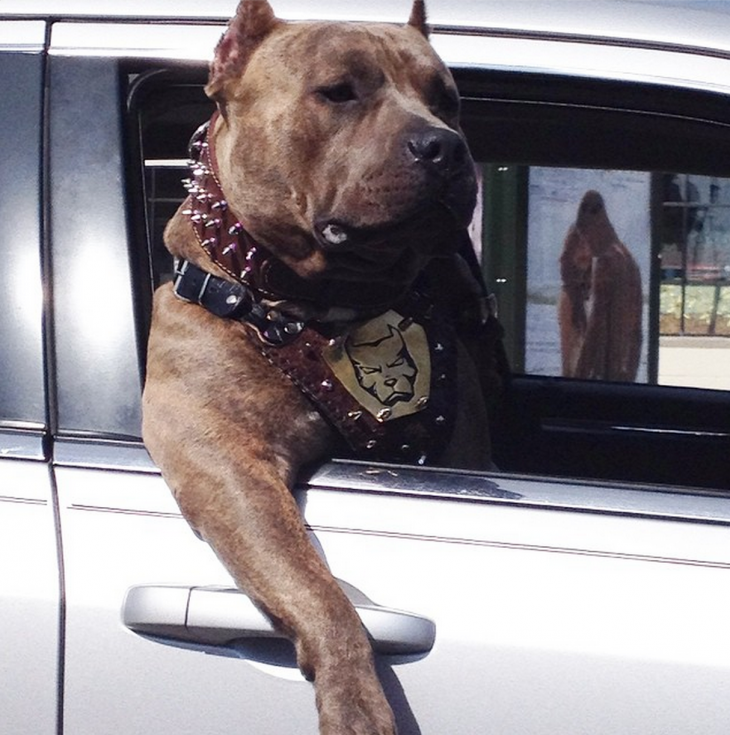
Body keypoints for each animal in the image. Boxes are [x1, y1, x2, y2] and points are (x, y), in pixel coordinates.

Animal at [145, 2, 504, 732]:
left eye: (447, 101)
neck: (328, 299)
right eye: (338, 92)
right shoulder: (226, 465)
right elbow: (316, 588)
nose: (444, 146)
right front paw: (356, 696)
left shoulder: (462, 451)